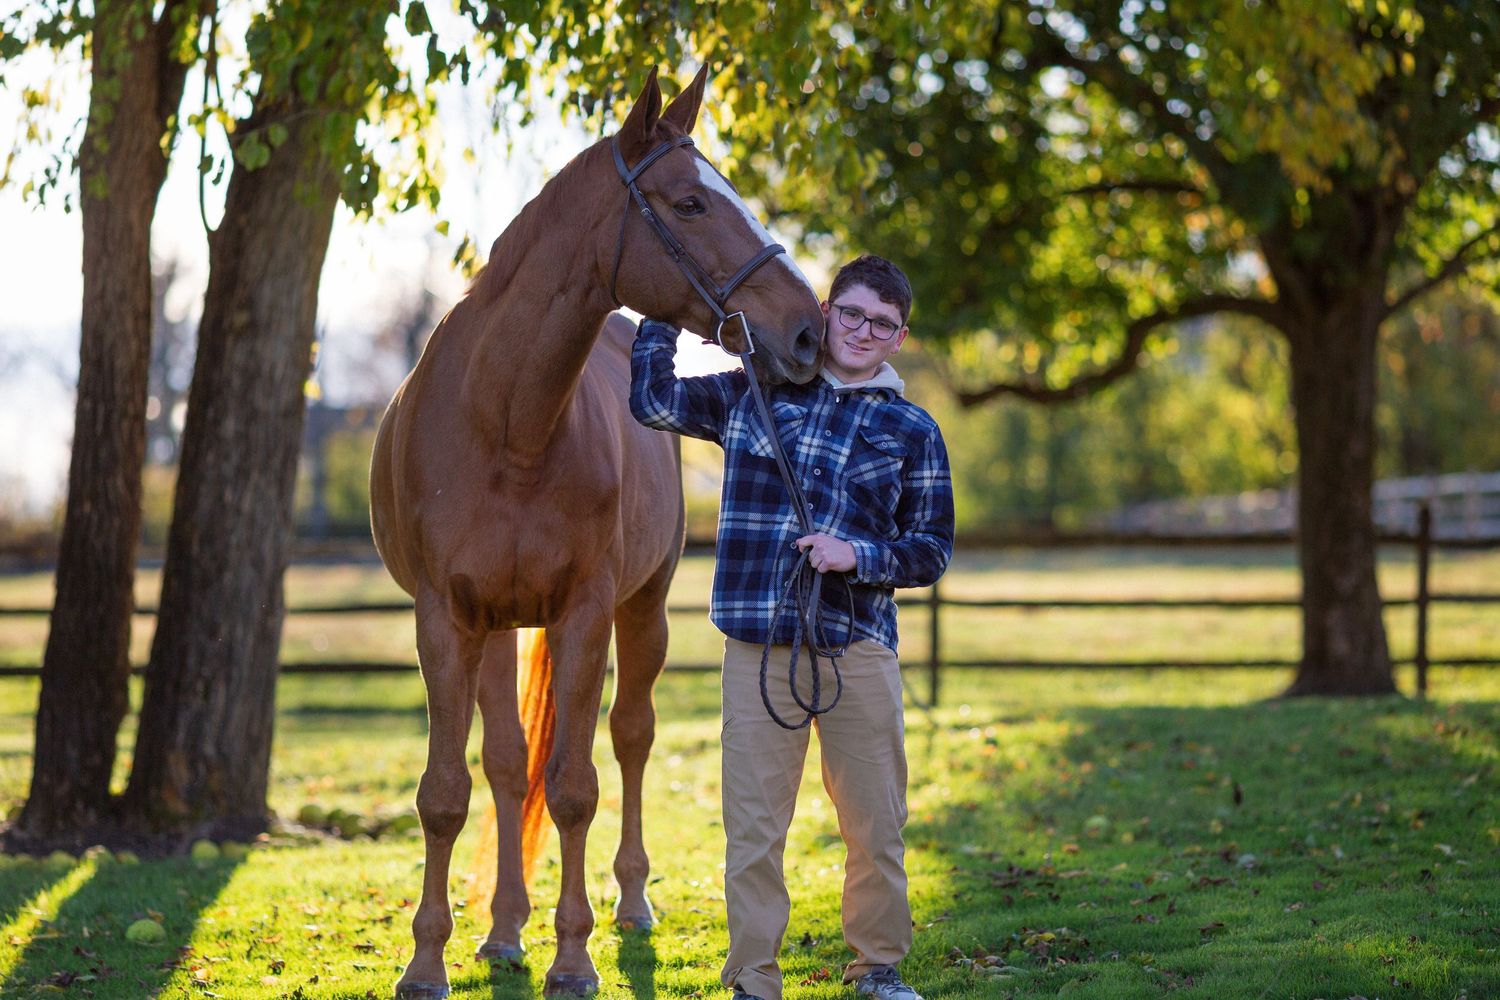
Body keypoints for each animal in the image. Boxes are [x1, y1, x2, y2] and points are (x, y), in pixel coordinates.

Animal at [369, 66, 825, 998]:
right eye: (689, 202)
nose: (807, 330)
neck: (505, 424)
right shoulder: (445, 620)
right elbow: (447, 791)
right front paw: (427, 962)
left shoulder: (584, 614)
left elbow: (578, 785)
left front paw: (573, 959)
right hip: (499, 629)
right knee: (510, 765)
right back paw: (503, 931)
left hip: (639, 611)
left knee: (629, 739)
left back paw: (630, 904)